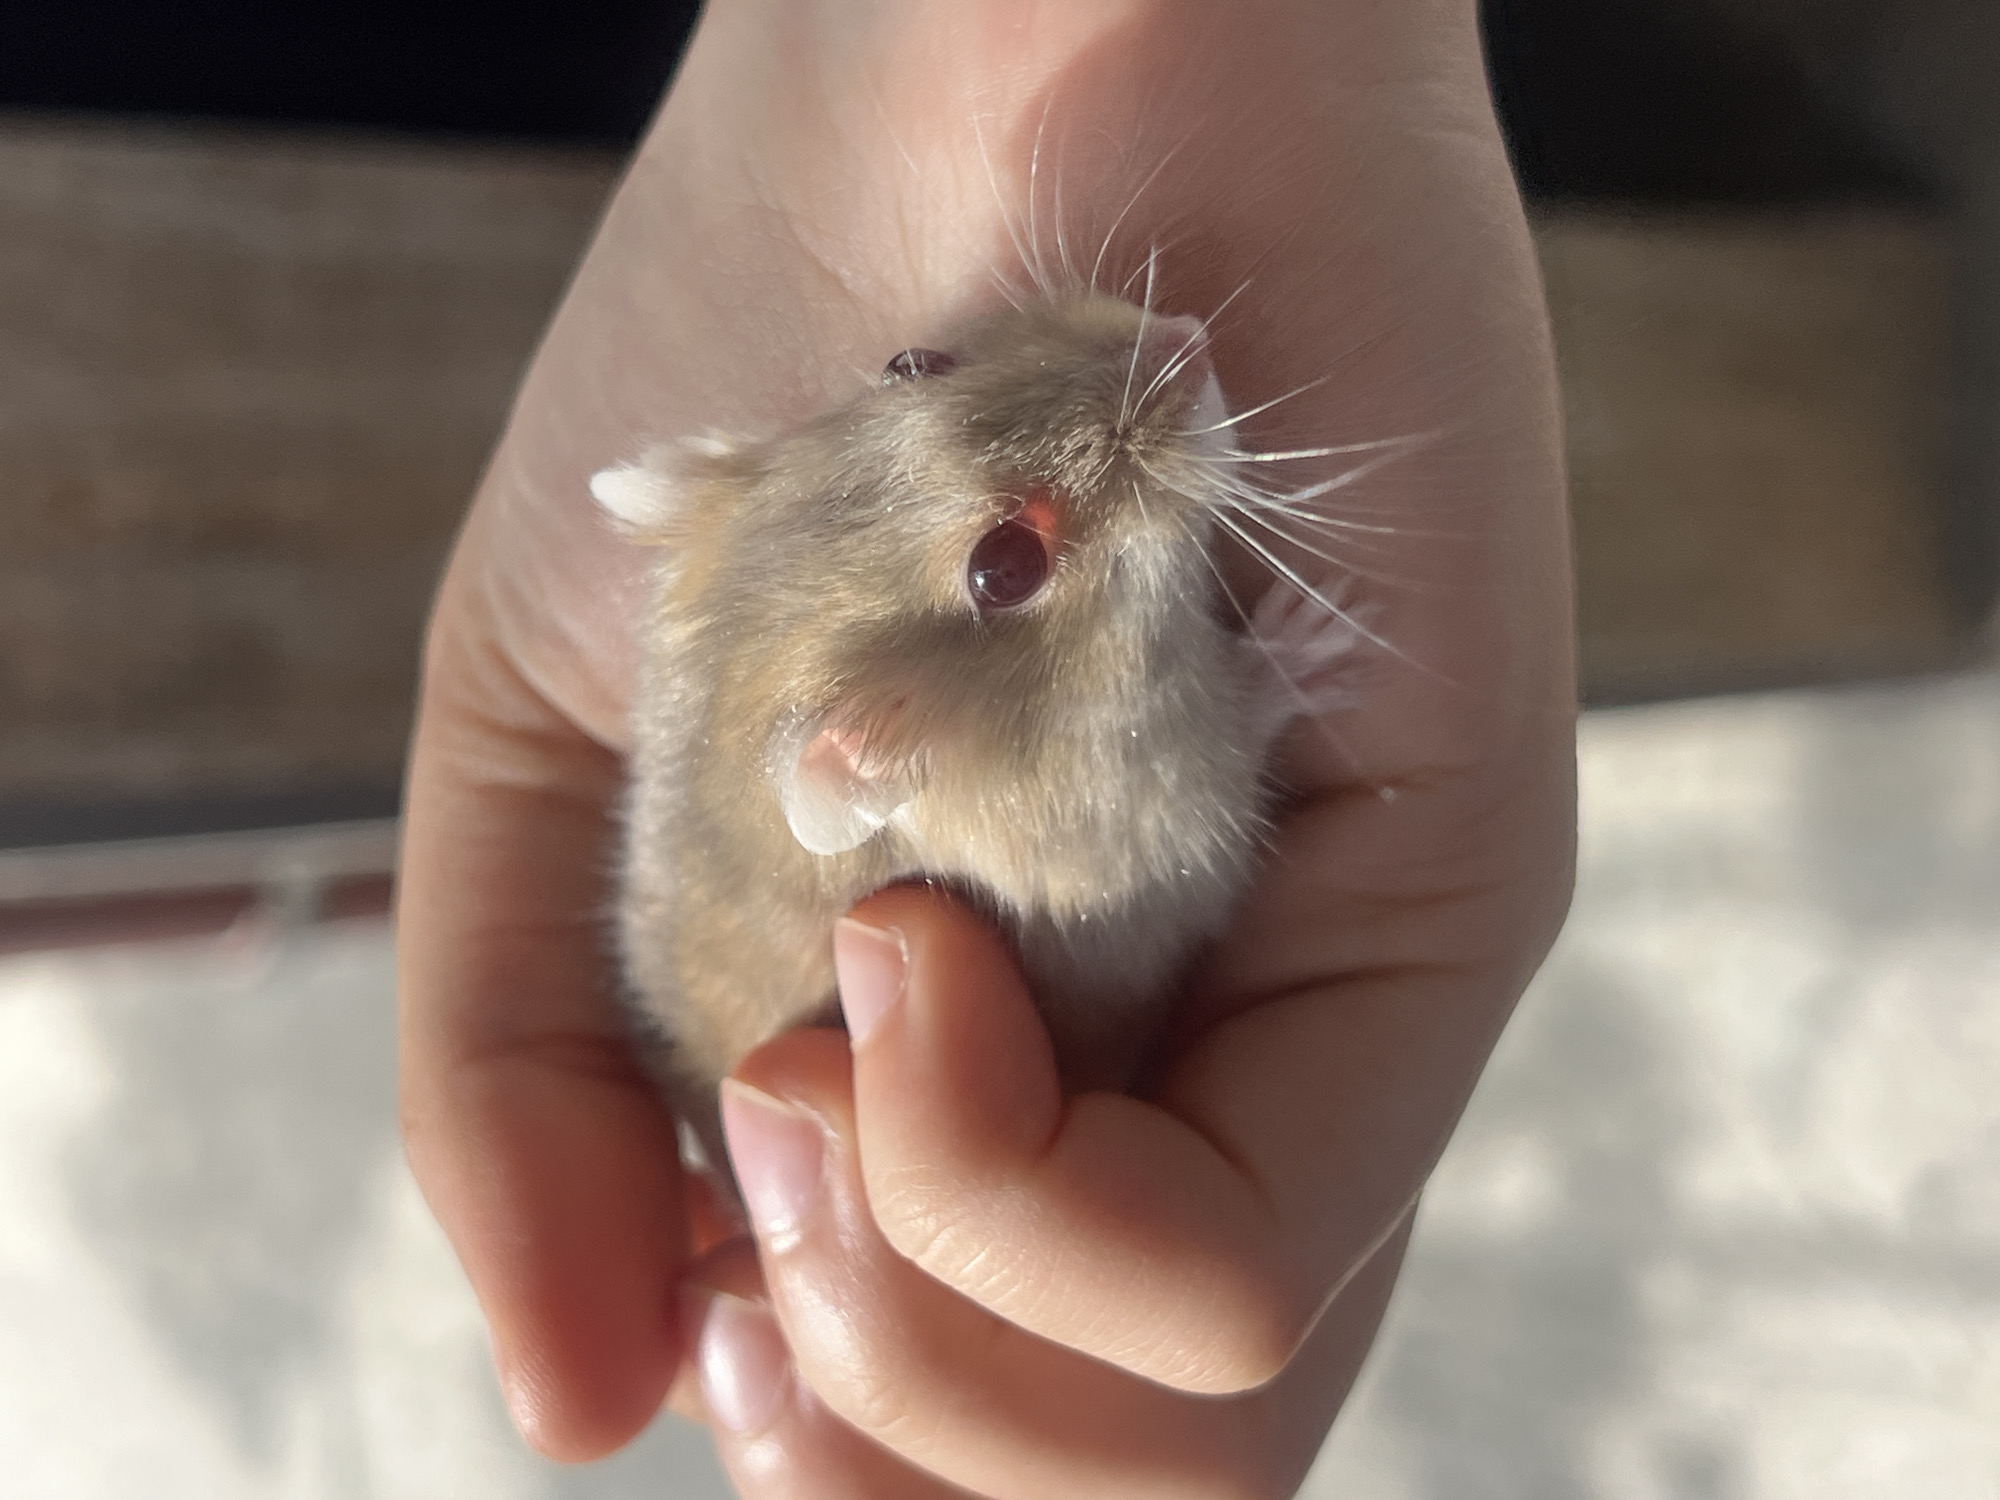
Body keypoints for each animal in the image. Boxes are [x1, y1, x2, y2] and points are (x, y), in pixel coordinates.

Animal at [592, 291, 1362, 1136]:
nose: (1186, 339)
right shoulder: (1169, 816)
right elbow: (1249, 713)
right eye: (1006, 568)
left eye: (910, 363)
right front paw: (1328, 626)